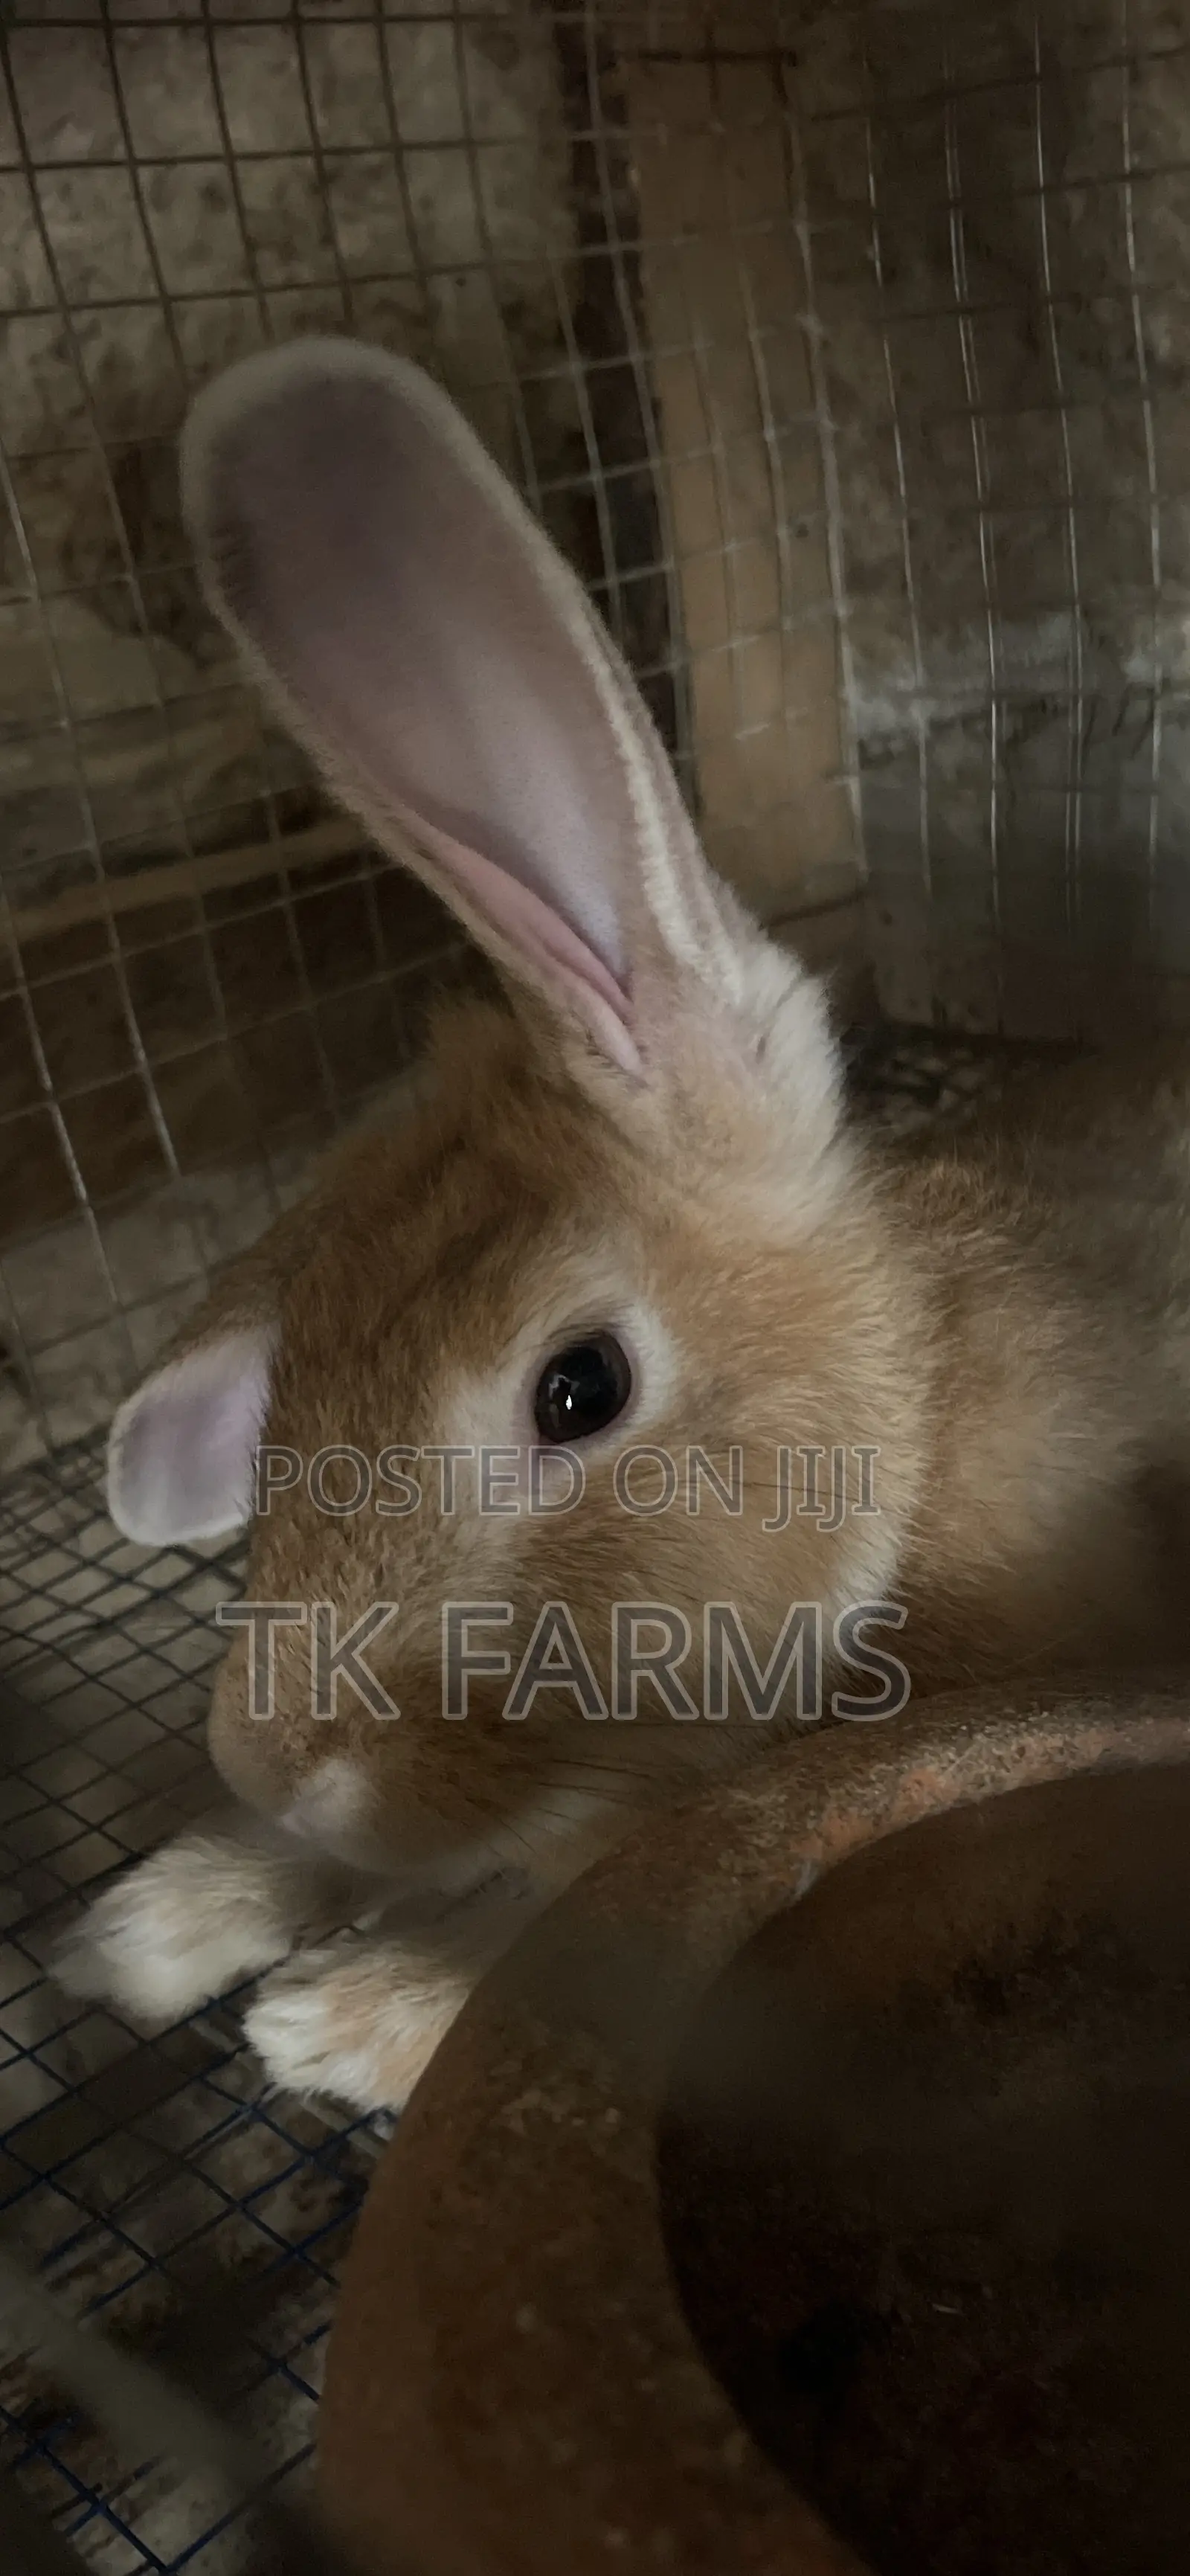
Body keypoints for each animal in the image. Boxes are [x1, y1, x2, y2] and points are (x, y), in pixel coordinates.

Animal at [58, 336, 1190, 2114]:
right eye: (295, 1374)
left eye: (578, 1388)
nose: (276, 1761)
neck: (916, 1420)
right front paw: (156, 1921)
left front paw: (341, 2019)